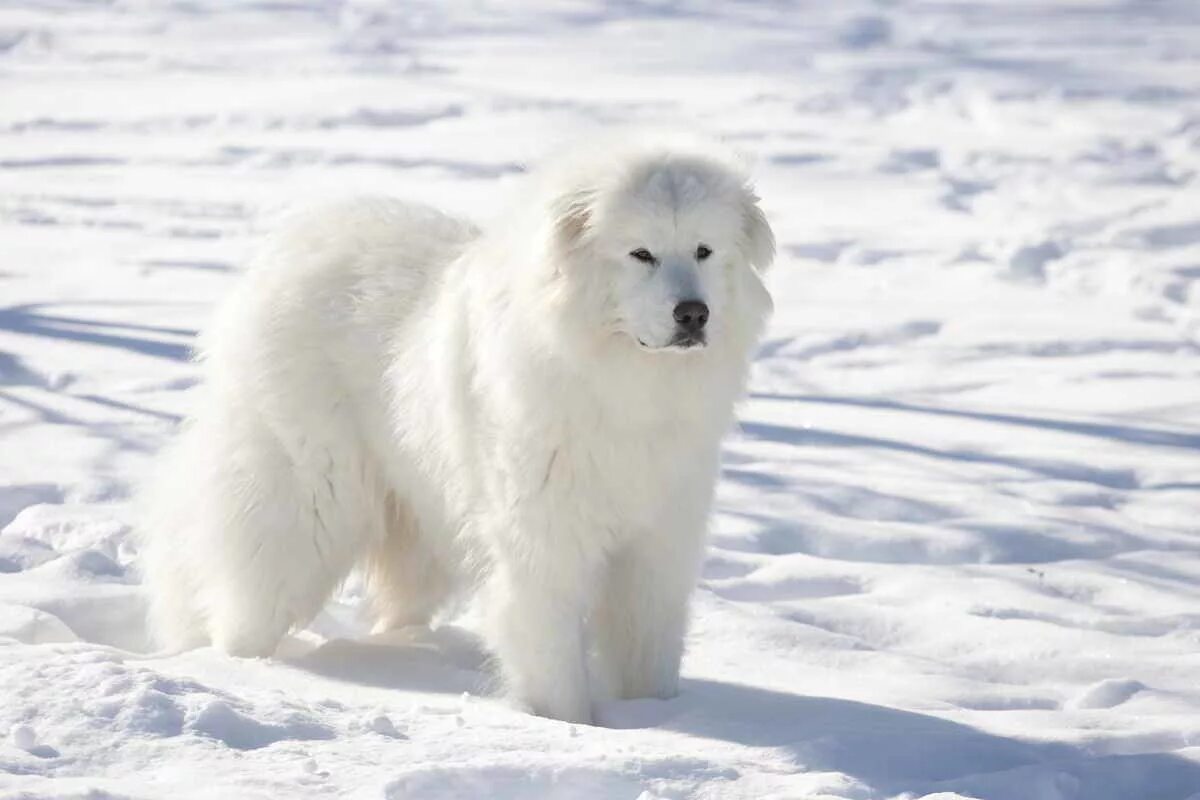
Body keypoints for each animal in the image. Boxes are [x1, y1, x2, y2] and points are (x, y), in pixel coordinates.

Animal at [138, 133, 777, 724]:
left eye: (704, 250)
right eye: (640, 253)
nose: (693, 314)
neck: (623, 384)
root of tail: (287, 247)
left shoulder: (658, 543)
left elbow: (649, 645)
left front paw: (657, 717)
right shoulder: (543, 540)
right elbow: (551, 653)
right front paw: (570, 726)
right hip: (309, 502)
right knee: (249, 594)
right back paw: (238, 669)